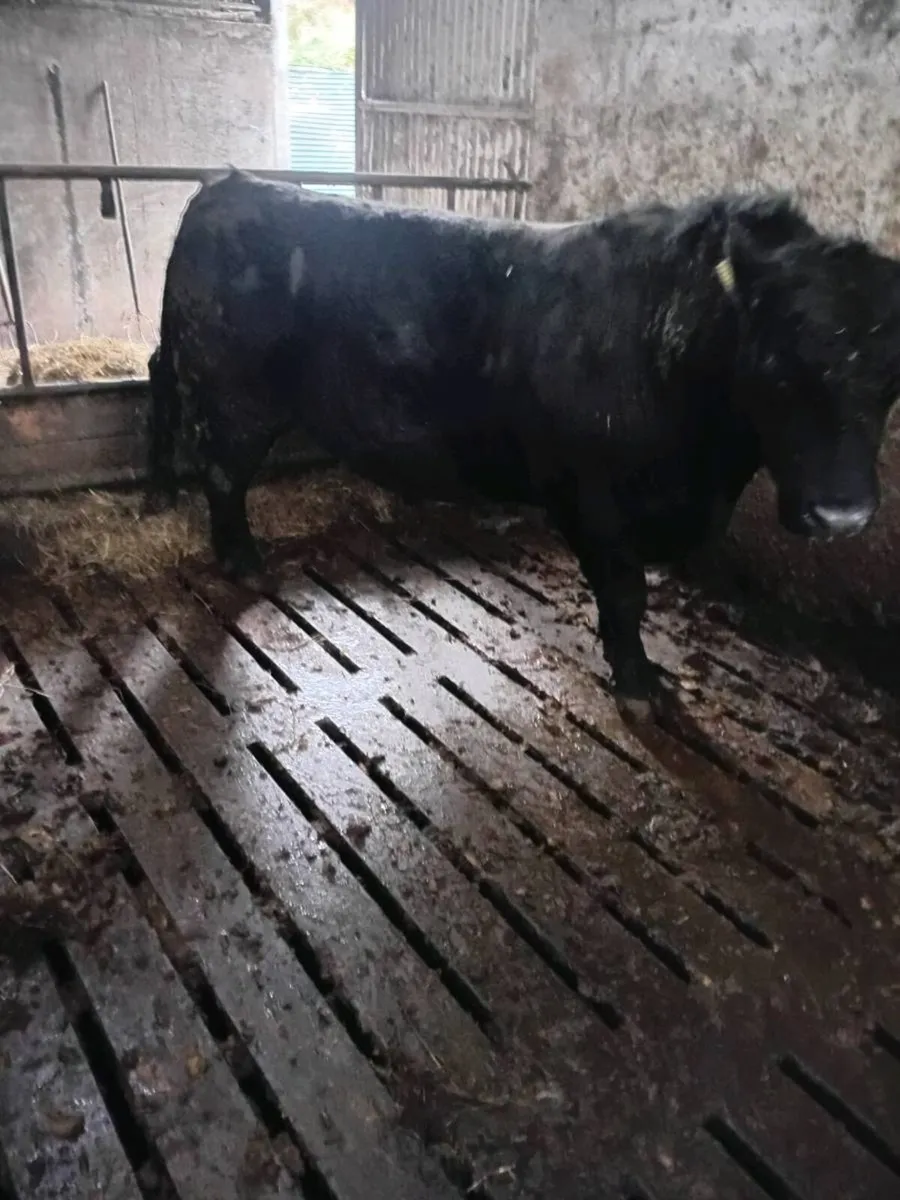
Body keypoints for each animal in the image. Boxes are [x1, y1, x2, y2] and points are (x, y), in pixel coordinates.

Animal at [143, 170, 900, 720]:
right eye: (776, 362)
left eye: (891, 379)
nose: (843, 516)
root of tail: (231, 184)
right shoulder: (593, 497)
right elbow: (625, 595)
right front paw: (638, 682)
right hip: (233, 393)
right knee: (222, 473)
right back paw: (241, 560)